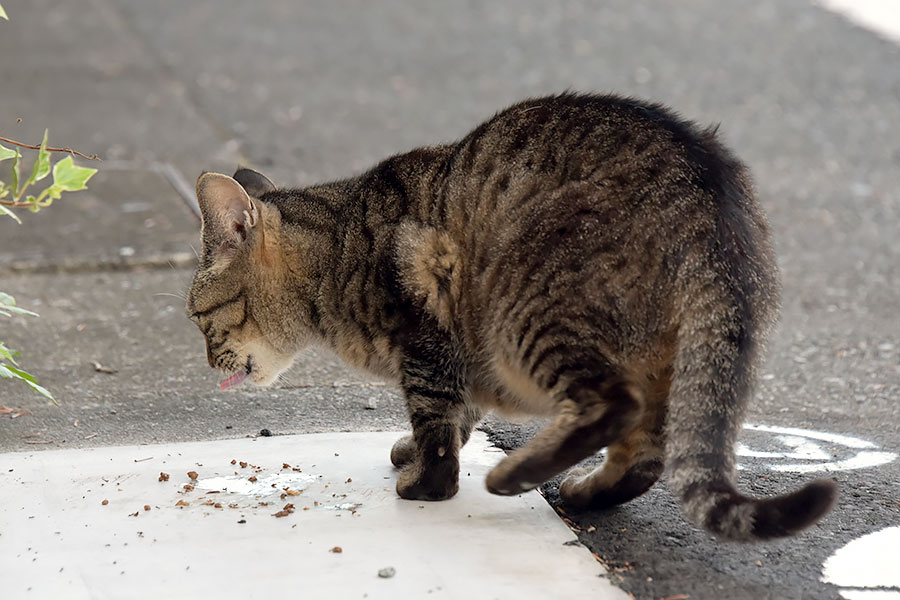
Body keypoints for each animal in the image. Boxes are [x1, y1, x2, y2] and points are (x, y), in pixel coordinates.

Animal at [188, 92, 836, 540]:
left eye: (198, 319)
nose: (207, 361)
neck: (336, 251)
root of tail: (712, 205)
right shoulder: (462, 361)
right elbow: (457, 415)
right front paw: (413, 450)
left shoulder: (425, 327)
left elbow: (437, 427)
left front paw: (425, 483)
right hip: (666, 366)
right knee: (647, 455)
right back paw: (584, 491)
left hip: (529, 310)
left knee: (612, 405)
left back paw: (515, 476)